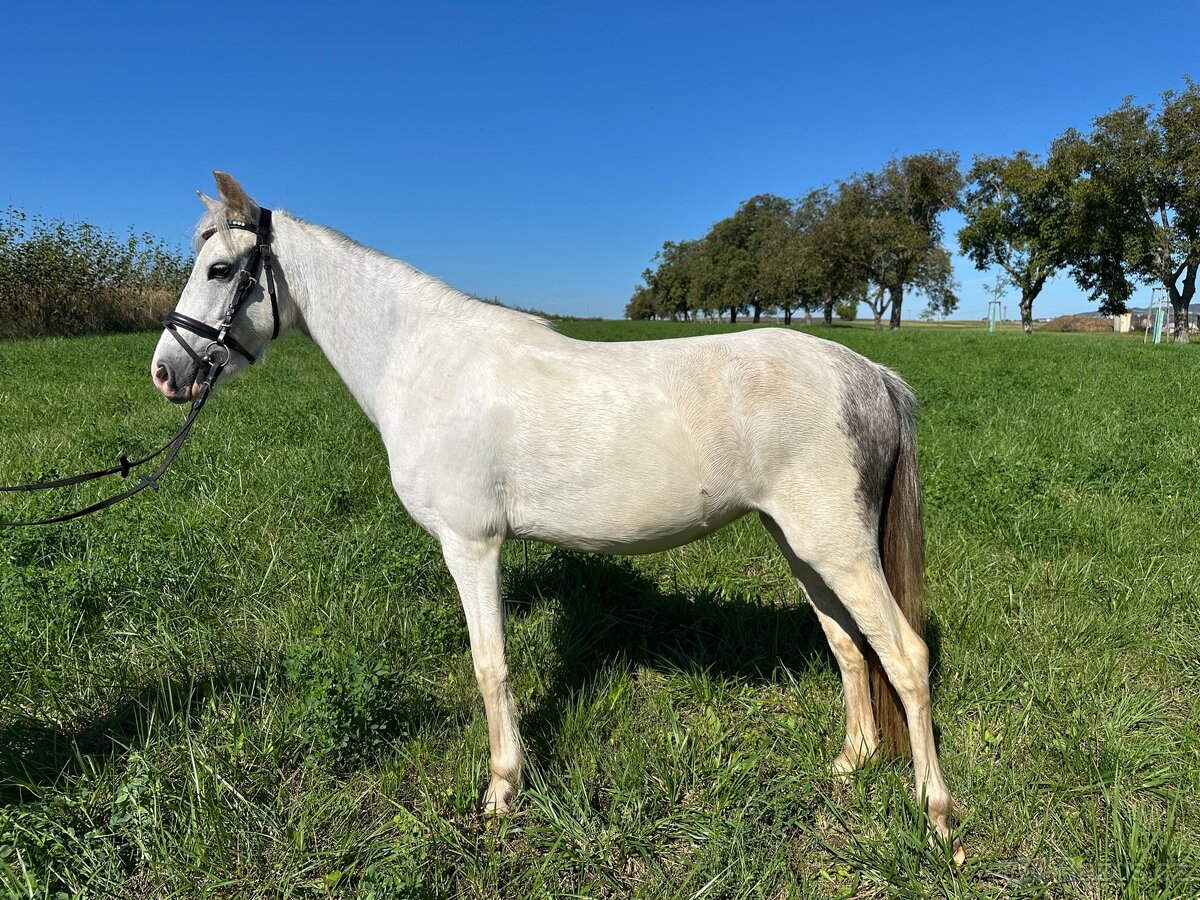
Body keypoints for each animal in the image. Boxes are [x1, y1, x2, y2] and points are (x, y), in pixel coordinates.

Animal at [151, 173, 960, 861]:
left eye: (219, 270)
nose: (167, 370)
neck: (422, 361)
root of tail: (870, 374)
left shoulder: (471, 545)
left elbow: (491, 666)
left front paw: (502, 790)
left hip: (839, 549)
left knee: (906, 657)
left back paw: (939, 818)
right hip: (803, 545)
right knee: (849, 645)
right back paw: (851, 763)